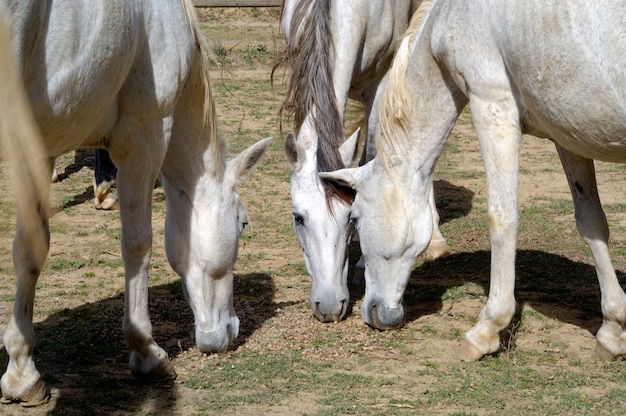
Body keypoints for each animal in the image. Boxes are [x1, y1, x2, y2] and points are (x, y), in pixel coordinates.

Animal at [0, 0, 268, 406]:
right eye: (242, 223)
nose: (230, 330)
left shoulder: (40, 145)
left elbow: (30, 250)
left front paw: (22, 372)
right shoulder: (146, 134)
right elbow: (138, 244)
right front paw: (146, 351)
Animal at [322, 0, 624, 360]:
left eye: (354, 218)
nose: (377, 314)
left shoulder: (493, 107)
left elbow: (501, 219)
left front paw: (486, 330)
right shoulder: (567, 131)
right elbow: (591, 222)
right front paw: (612, 330)